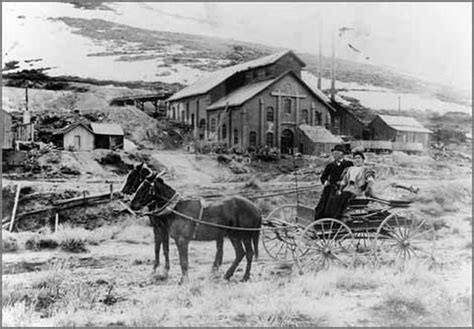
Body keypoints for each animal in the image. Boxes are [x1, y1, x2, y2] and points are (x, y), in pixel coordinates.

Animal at [130, 172, 262, 282]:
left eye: (144, 188)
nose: (132, 205)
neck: (177, 208)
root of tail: (255, 208)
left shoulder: (182, 240)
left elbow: (183, 261)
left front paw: (184, 280)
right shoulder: (173, 237)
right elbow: (178, 258)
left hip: (245, 235)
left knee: (249, 253)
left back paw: (245, 277)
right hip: (233, 235)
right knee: (240, 253)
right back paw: (227, 275)